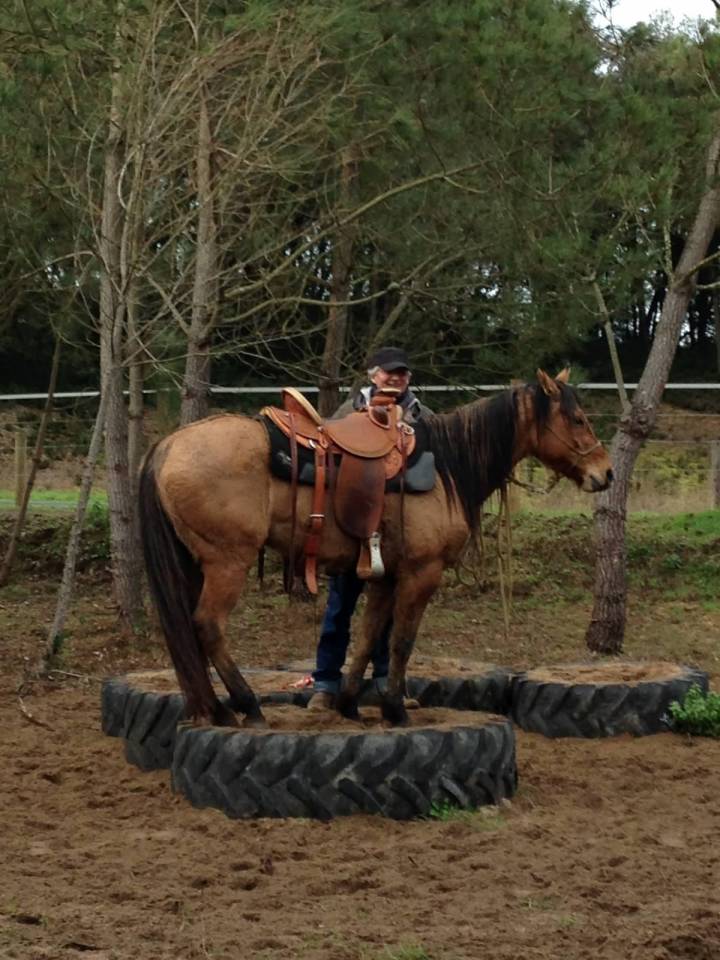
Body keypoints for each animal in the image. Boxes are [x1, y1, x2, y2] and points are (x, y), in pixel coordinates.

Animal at [138, 367, 612, 729]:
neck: (445, 466)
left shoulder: (385, 575)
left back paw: (215, 709)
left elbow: (367, 639)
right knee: (207, 626)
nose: (605, 473)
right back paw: (246, 705)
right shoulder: (422, 572)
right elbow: (401, 641)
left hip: (196, 564)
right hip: (227, 563)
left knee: (188, 630)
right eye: (577, 418)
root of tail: (167, 446)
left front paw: (349, 704)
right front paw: (395, 710)